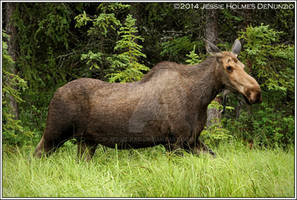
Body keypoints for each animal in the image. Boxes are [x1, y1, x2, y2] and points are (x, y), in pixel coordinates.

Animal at [34, 39, 260, 160]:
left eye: (243, 66)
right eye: (229, 67)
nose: (255, 92)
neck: (201, 98)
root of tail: (55, 92)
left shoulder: (192, 141)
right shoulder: (174, 142)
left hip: (87, 141)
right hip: (55, 133)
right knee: (35, 156)